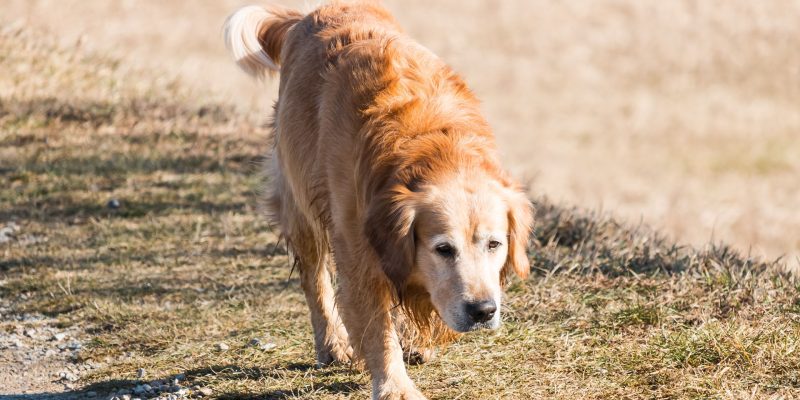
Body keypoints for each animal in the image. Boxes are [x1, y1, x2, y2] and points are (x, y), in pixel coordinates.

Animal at [223, 2, 532, 396]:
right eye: (443, 249)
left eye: (495, 244)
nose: (483, 311)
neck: (432, 146)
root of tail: (311, 14)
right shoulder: (358, 248)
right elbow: (376, 327)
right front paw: (394, 387)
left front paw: (415, 344)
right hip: (299, 199)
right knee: (314, 279)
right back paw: (332, 344)